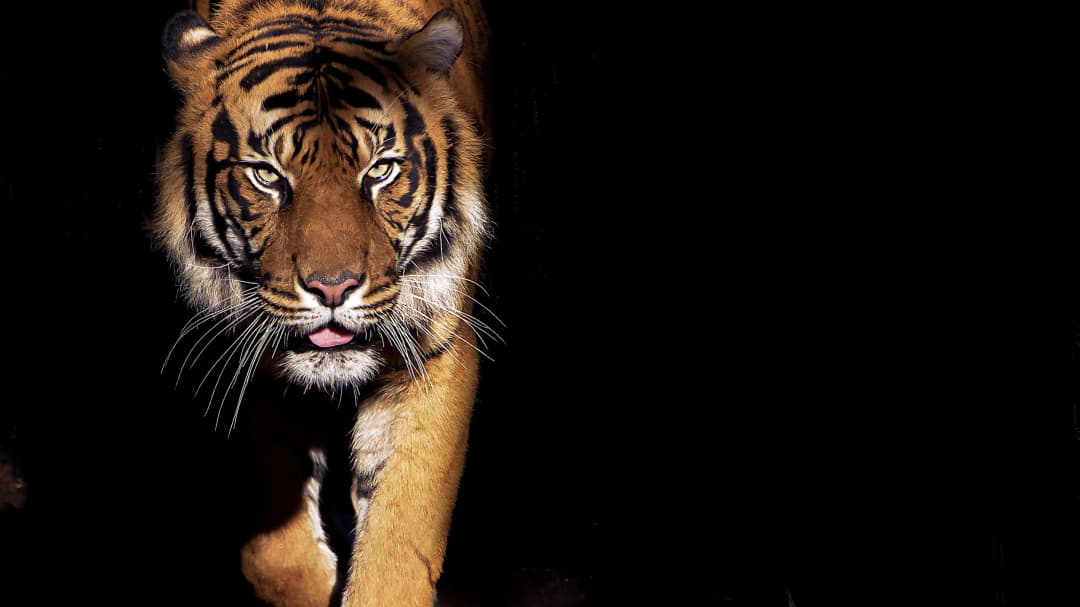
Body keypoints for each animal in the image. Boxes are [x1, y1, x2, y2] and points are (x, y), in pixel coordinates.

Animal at [154, 1, 492, 605]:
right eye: (266, 176)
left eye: (380, 170)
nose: (333, 288)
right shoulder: (251, 358)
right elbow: (274, 545)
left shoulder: (435, 353)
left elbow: (401, 533)